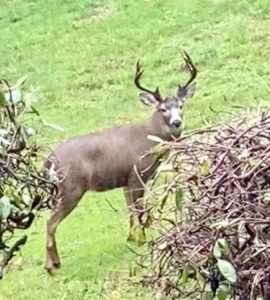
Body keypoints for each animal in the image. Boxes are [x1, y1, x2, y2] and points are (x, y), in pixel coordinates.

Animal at [43, 51, 196, 274]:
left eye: (181, 106)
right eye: (163, 109)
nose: (177, 122)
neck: (151, 139)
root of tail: (48, 161)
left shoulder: (125, 180)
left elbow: (130, 210)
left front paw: (131, 238)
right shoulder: (137, 174)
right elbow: (138, 209)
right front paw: (141, 239)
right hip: (71, 188)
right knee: (51, 222)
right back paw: (51, 265)